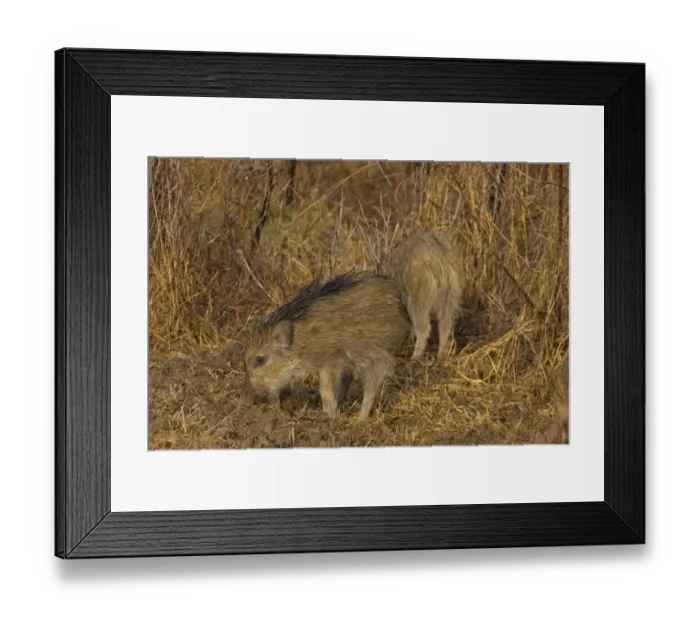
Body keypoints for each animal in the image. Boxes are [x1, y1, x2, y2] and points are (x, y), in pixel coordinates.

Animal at [241, 271, 410, 421]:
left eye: (261, 359)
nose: (247, 401)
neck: (301, 341)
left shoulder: (331, 361)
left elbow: (326, 390)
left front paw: (329, 415)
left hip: (376, 356)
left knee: (371, 387)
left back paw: (360, 420)